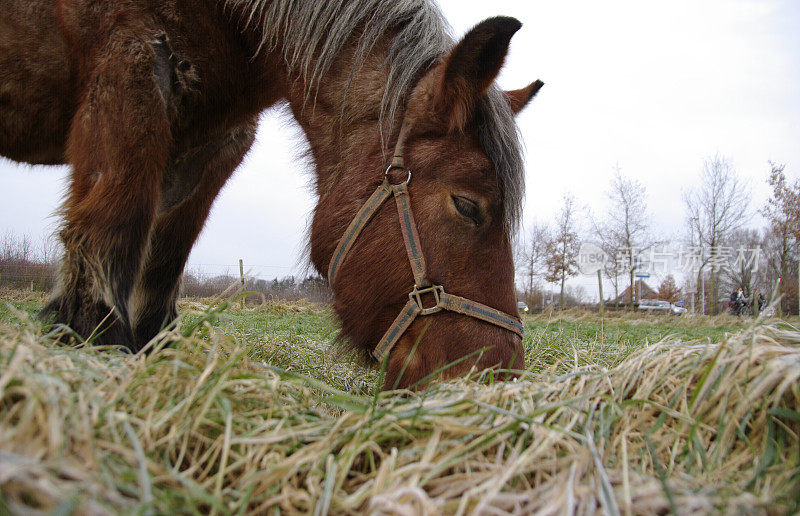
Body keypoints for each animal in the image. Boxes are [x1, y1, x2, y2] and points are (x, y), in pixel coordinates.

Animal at [0, 0, 544, 388]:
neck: (235, 20)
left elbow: (159, 277)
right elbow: (110, 238)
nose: (495, 378)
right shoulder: (130, 73)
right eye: (467, 205)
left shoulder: (216, 143)